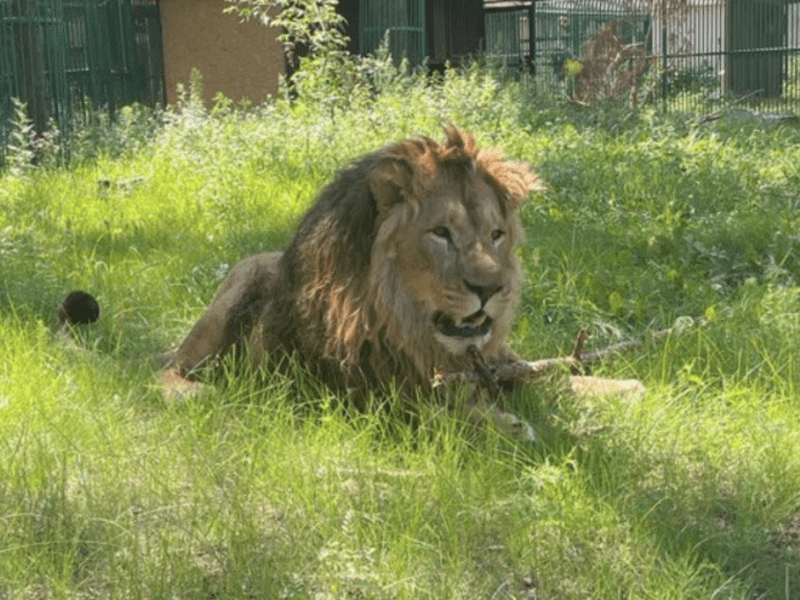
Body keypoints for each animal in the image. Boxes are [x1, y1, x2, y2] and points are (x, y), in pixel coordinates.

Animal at [162, 127, 644, 436]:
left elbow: (556, 377)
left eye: (496, 235)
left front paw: (631, 387)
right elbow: (453, 415)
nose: (491, 290)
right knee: (169, 367)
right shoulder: (376, 399)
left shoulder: (500, 368)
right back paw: (195, 393)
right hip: (232, 293)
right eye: (441, 233)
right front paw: (508, 424)